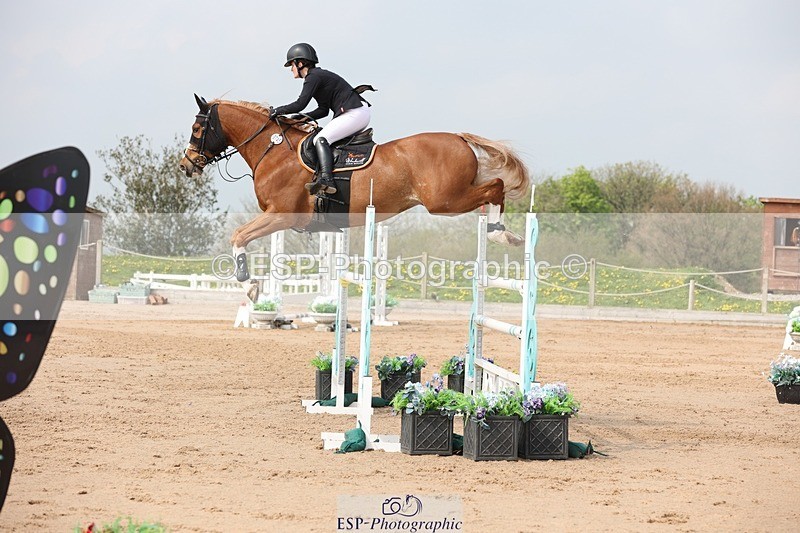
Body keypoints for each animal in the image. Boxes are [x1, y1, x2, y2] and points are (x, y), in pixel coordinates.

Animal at [179, 95, 530, 282]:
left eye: (197, 128)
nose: (186, 165)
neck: (274, 150)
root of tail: (459, 138)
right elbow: (240, 235)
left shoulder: (282, 215)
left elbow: (238, 235)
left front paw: (247, 284)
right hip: (451, 197)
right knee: (492, 189)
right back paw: (503, 232)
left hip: (444, 202)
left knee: (496, 186)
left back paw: (501, 234)